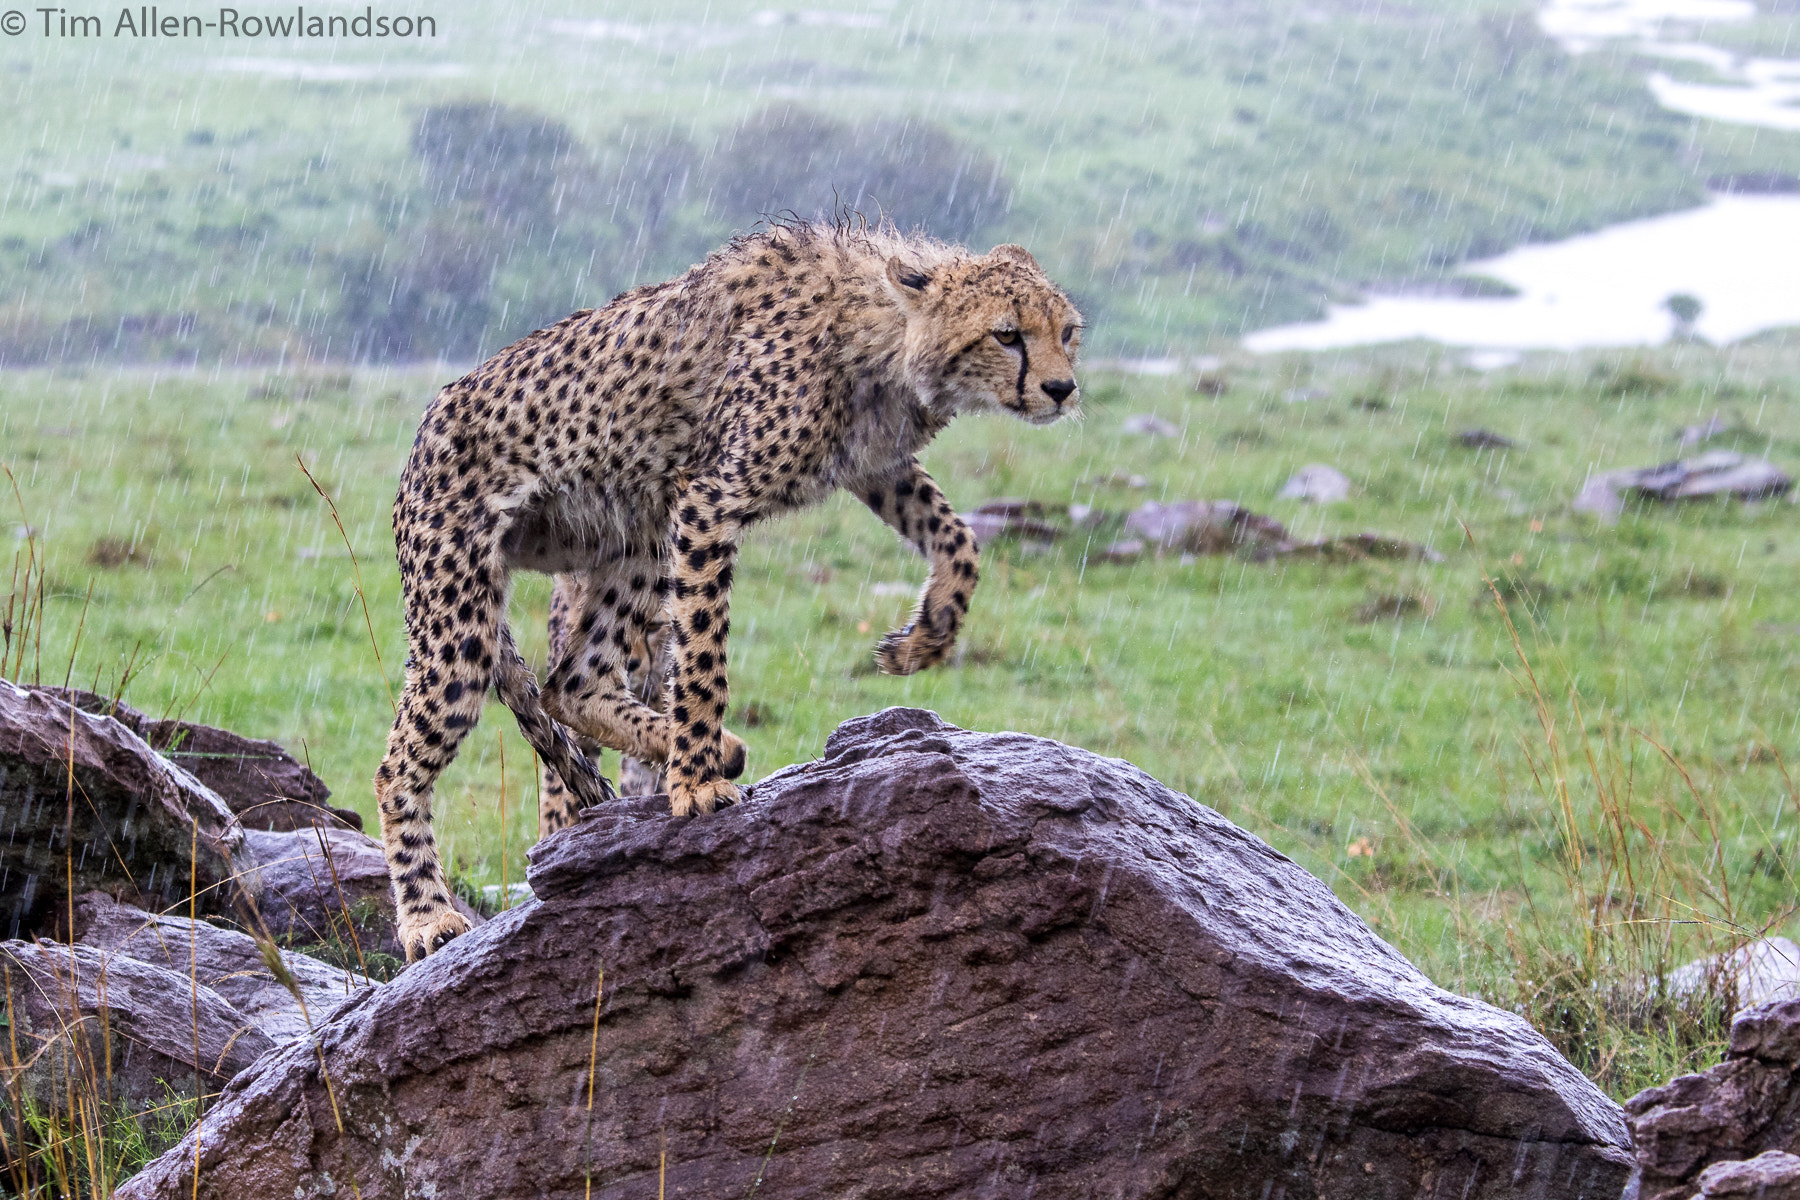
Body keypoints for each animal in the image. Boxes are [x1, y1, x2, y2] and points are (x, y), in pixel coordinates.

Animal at [376, 220, 1080, 964]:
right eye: (1007, 334)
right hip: (465, 614)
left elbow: (957, 536)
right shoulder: (709, 500)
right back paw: (427, 917)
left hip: (637, 537)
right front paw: (696, 784)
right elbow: (704, 653)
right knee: (404, 763)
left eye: (1067, 332)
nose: (1063, 388)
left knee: (572, 683)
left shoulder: (871, 464)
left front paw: (928, 633)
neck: (885, 329)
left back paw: (712, 746)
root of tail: (426, 424)